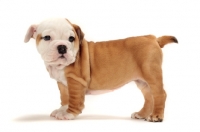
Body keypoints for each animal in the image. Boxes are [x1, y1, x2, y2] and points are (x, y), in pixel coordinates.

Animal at [24, 18, 177, 122]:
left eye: (71, 38)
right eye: (47, 38)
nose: (62, 47)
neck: (59, 66)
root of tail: (154, 39)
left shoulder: (75, 81)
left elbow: (73, 99)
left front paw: (68, 113)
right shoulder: (62, 84)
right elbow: (65, 98)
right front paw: (61, 110)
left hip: (152, 74)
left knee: (160, 94)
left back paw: (156, 116)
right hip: (142, 81)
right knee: (149, 97)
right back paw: (142, 114)